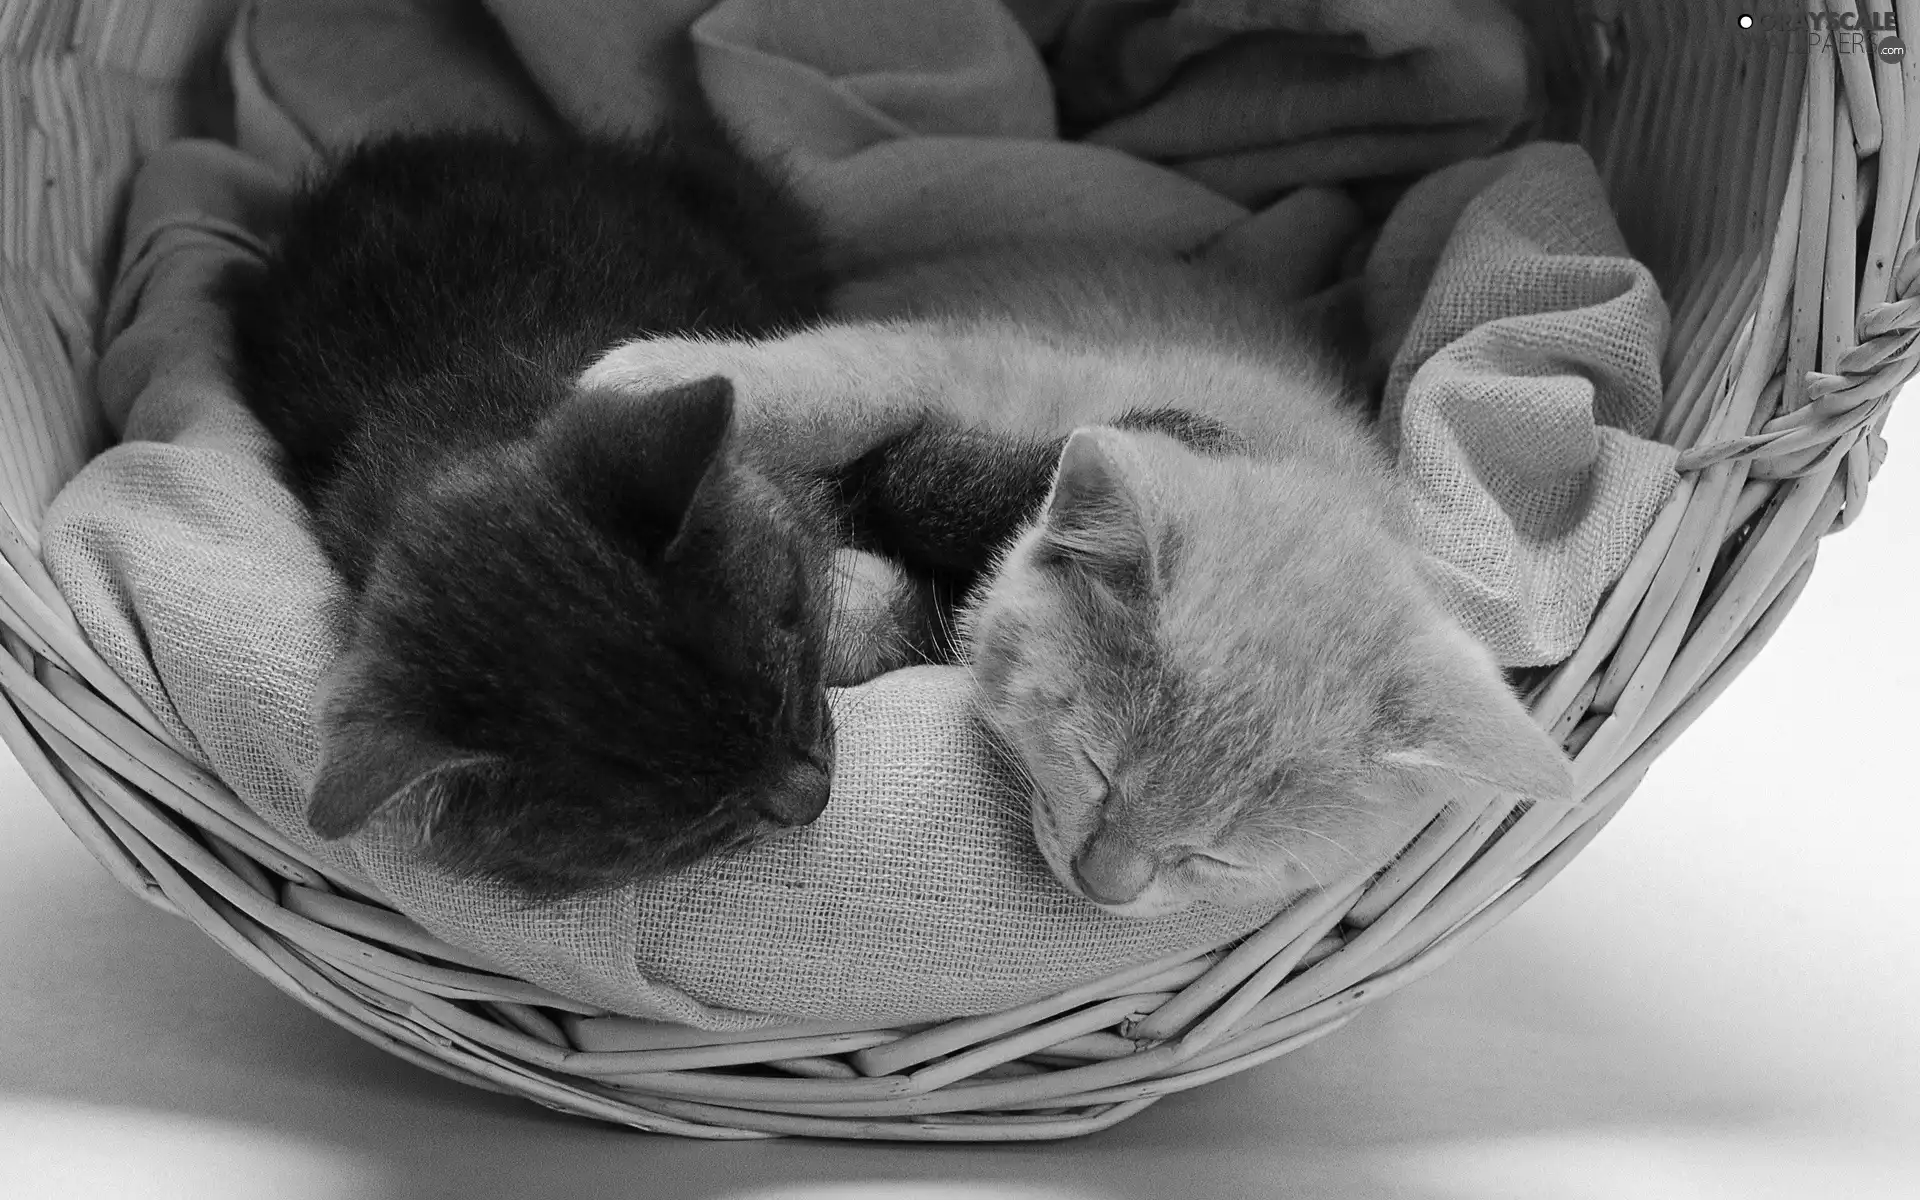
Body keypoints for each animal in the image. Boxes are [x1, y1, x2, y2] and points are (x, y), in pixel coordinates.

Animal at [583, 243, 1574, 917]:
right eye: (1096, 767)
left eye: (1215, 857)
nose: (1104, 887)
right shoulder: (971, 356)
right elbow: (843, 381)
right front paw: (649, 379)